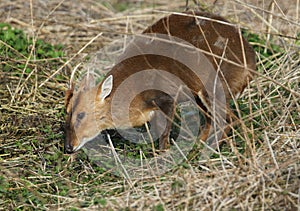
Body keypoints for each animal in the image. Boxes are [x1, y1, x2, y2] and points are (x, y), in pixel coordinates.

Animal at [63, 11, 255, 153]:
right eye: (67, 112)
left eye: (81, 114)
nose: (69, 147)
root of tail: (251, 65)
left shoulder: (166, 96)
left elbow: (163, 135)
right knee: (214, 120)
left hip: (214, 87)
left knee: (231, 120)